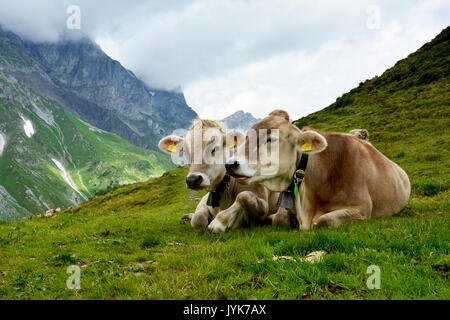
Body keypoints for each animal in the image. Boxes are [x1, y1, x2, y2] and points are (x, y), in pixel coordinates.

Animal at [227, 110, 410, 230]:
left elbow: (324, 220)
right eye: (247, 136)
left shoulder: (363, 208)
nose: (230, 164)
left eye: (271, 139)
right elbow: (278, 219)